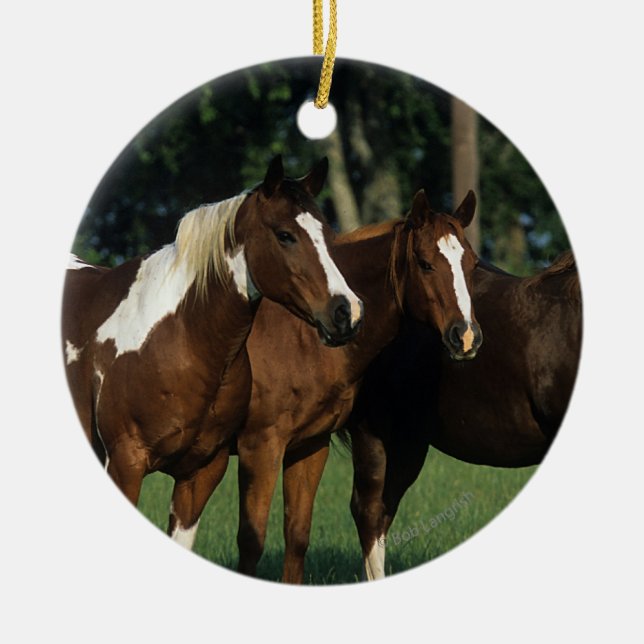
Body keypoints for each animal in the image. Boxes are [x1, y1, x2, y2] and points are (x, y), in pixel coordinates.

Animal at [62, 156, 364, 525]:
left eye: (328, 235)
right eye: (285, 235)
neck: (181, 338)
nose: (347, 311)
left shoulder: (202, 472)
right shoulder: (125, 465)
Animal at [167, 188, 483, 582]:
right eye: (425, 264)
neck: (300, 338)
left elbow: (297, 536)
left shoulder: (310, 446)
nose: (466, 336)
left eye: (472, 265)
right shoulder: (261, 448)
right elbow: (252, 542)